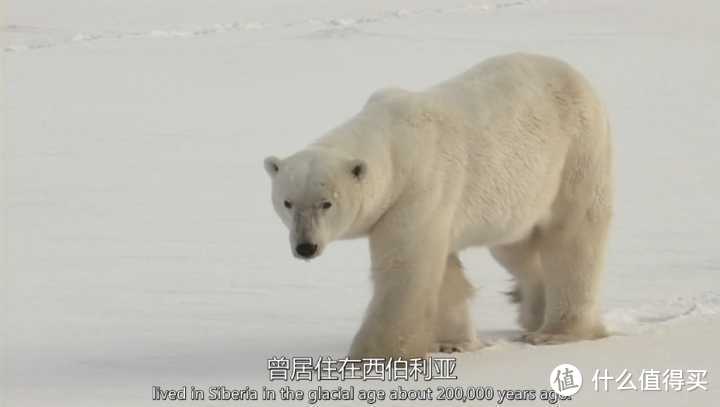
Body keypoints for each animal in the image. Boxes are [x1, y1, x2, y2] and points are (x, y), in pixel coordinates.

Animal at [264, 52, 612, 358]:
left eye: (326, 204)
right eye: (287, 202)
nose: (305, 247)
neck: (396, 143)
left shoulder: (419, 189)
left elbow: (405, 270)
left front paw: (371, 356)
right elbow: (444, 272)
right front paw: (452, 343)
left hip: (575, 155)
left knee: (572, 240)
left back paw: (556, 332)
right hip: (520, 194)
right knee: (514, 247)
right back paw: (530, 309)